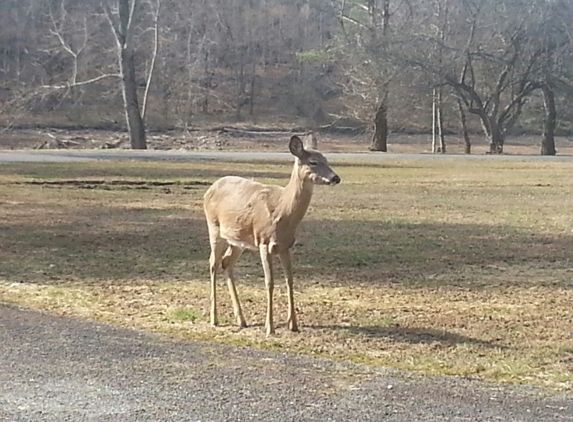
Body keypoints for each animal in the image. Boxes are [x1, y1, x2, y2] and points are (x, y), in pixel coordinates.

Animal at [203, 135, 340, 336]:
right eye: (313, 162)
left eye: (327, 160)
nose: (335, 177)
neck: (282, 210)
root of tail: (210, 189)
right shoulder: (263, 241)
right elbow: (270, 282)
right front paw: (270, 327)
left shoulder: (286, 245)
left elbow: (290, 280)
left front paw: (293, 324)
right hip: (214, 227)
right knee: (213, 263)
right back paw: (214, 319)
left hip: (238, 240)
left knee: (226, 262)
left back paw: (241, 319)